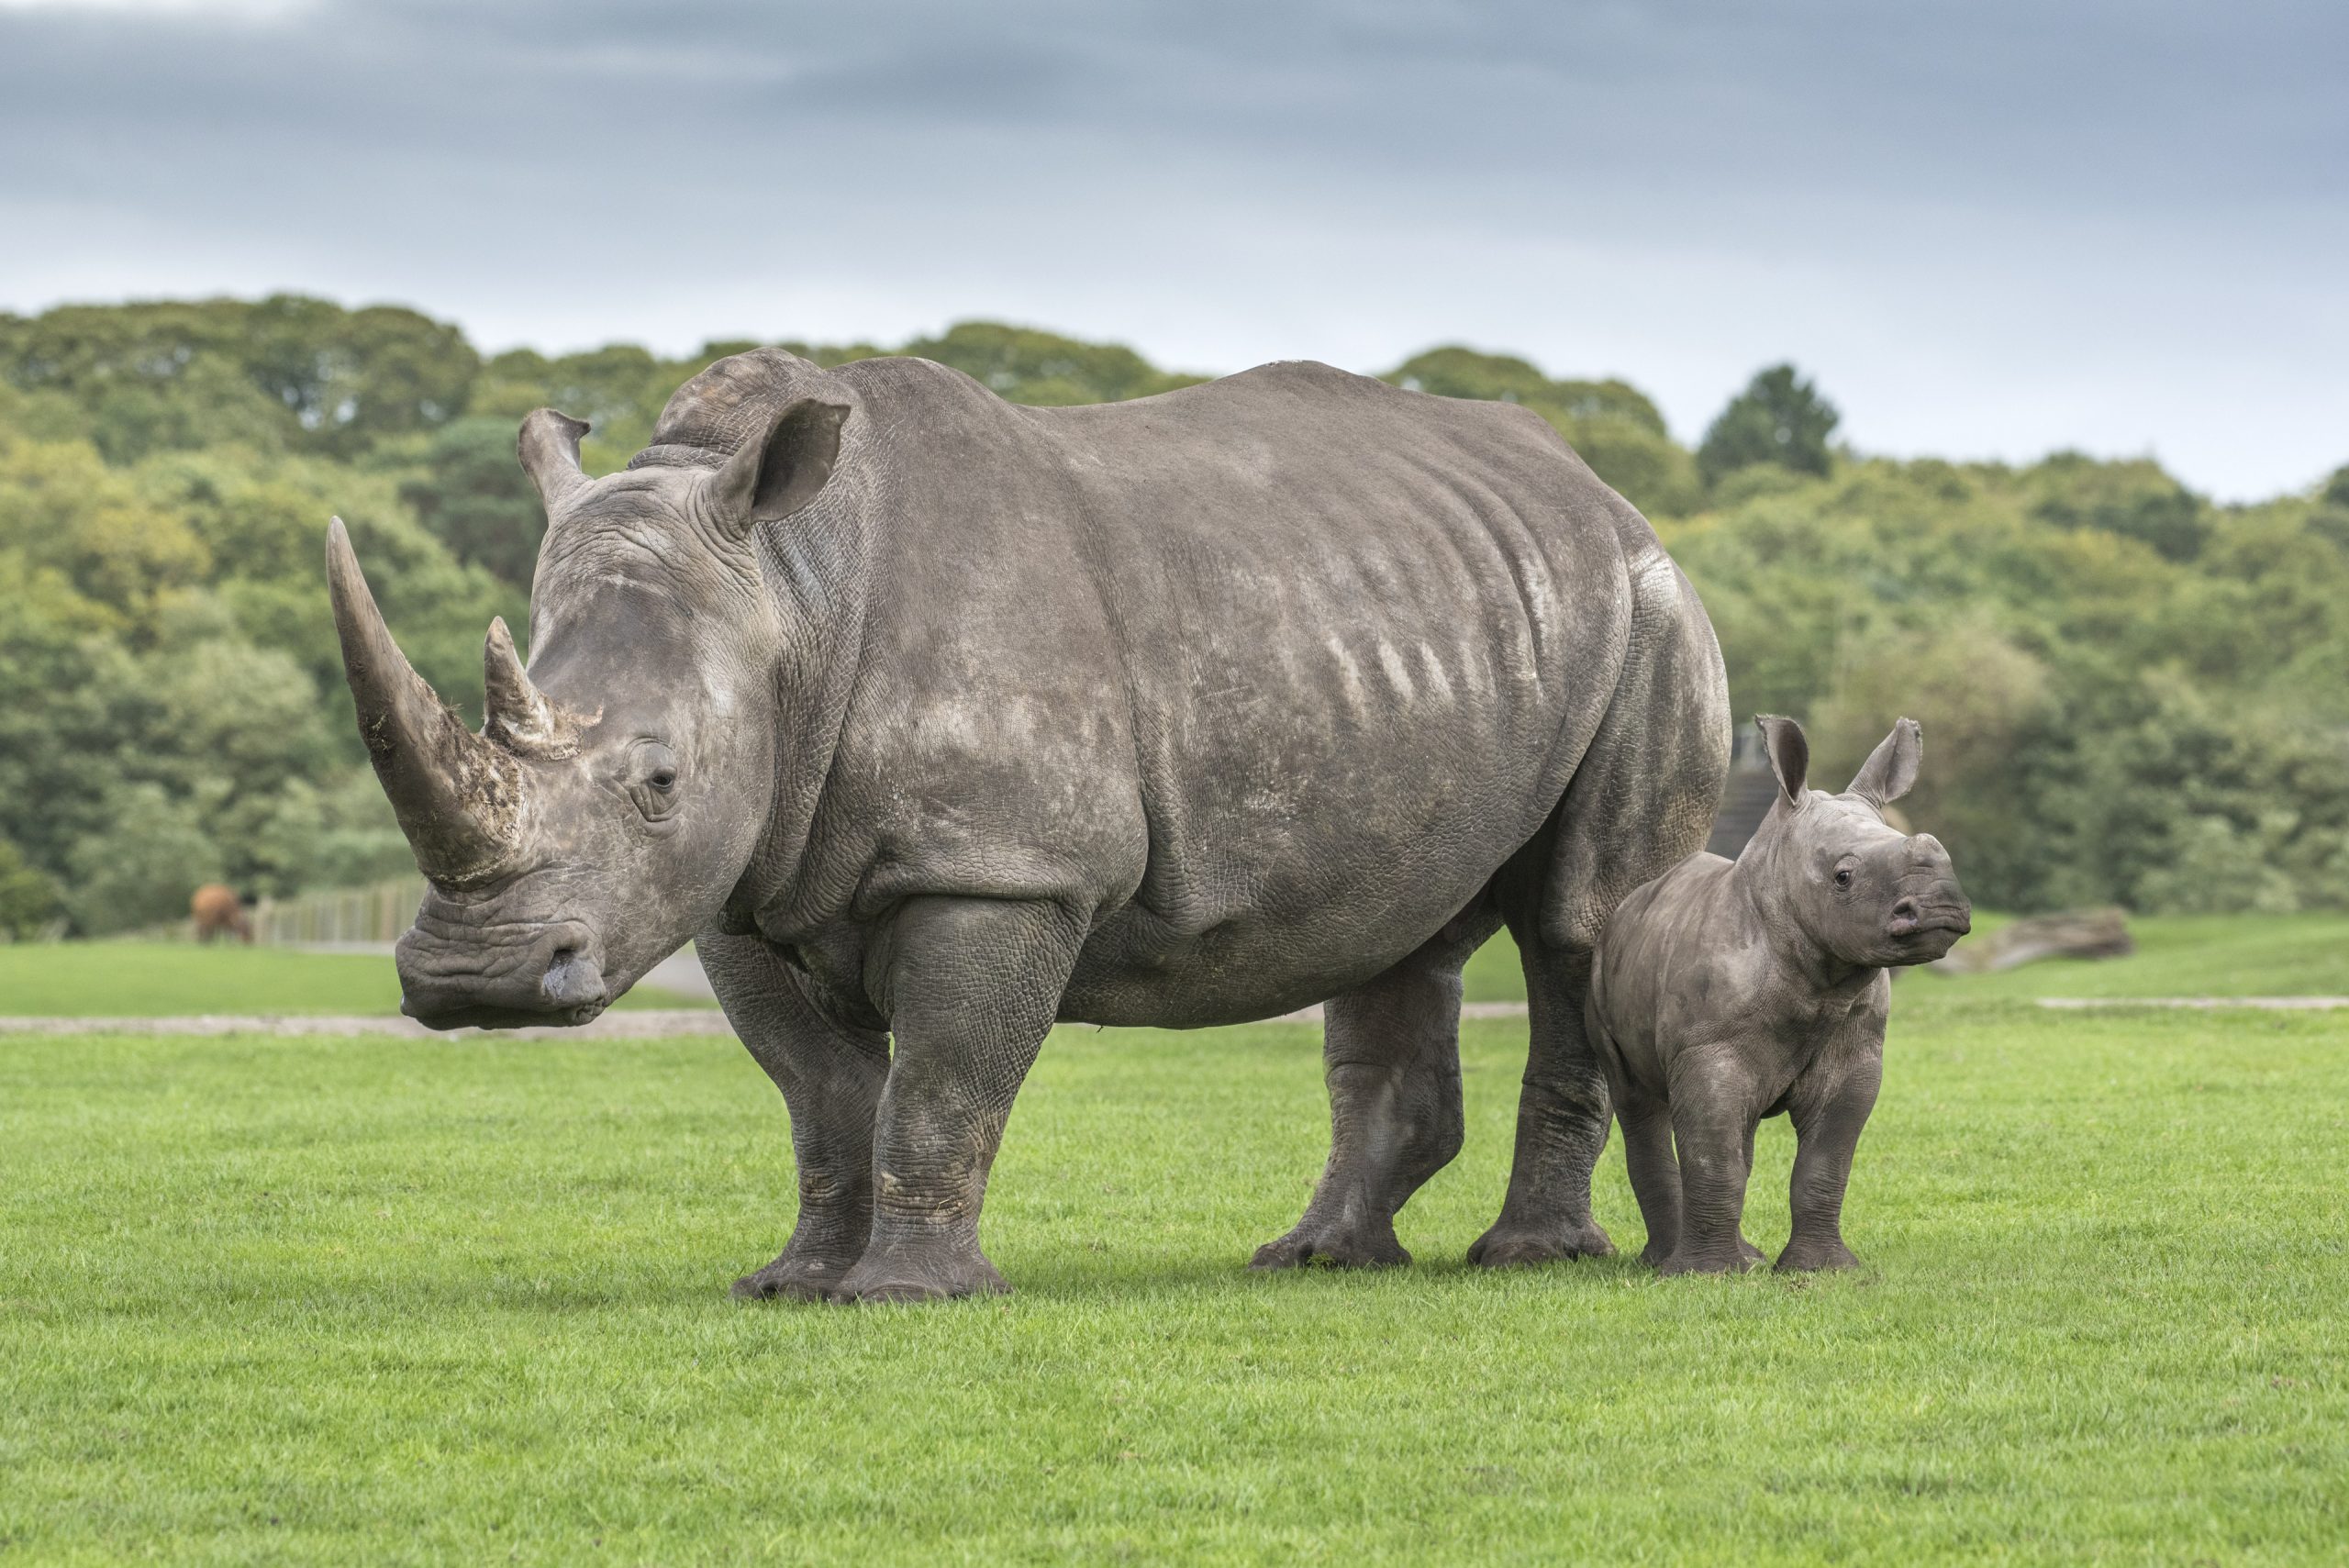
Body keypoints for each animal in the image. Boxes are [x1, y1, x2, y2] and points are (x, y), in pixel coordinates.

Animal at [326, 348, 1730, 1302]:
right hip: (1434, 615)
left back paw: (1526, 1258)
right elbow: (821, 1092)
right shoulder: (741, 883)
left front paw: (906, 1296)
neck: (794, 586)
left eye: (659, 782)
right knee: (1394, 927)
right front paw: (794, 1284)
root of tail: (1601, 491)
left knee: (1579, 923)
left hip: (1650, 612)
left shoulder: (1003, 867)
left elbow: (943, 1077)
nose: (475, 982)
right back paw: (1317, 1258)